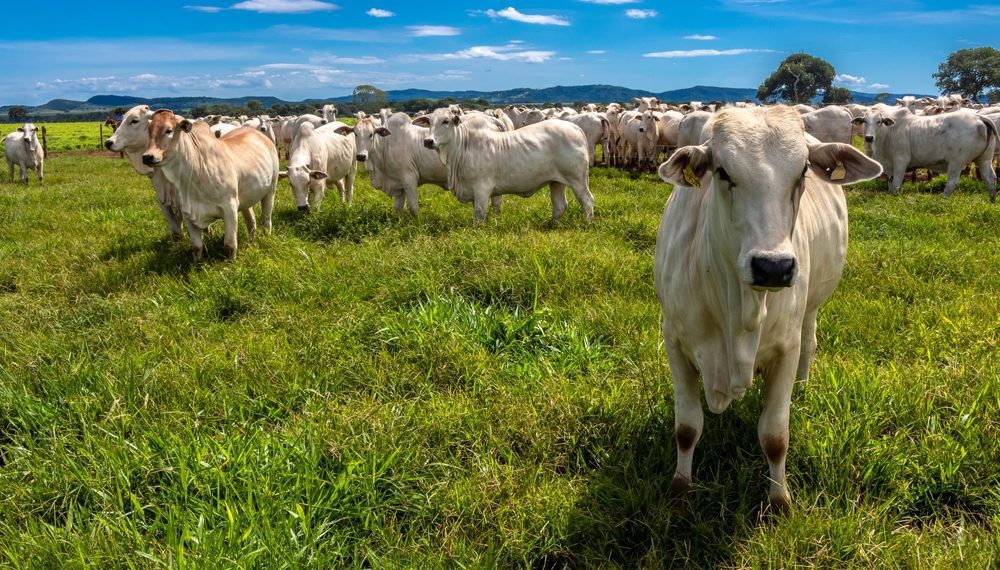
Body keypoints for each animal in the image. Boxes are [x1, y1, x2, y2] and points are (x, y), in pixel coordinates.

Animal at [143, 110, 280, 256]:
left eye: (168, 130)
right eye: (149, 131)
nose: (147, 157)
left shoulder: (230, 208)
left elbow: (230, 245)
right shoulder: (187, 212)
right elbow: (196, 246)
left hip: (271, 189)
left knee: (266, 218)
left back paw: (266, 237)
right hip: (245, 198)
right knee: (251, 219)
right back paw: (251, 241)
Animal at [416, 107, 588, 223]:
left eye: (446, 121)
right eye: (429, 122)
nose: (428, 141)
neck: (462, 148)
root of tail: (574, 127)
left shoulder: (482, 188)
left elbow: (479, 215)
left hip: (577, 179)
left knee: (587, 200)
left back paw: (588, 222)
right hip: (556, 181)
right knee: (560, 205)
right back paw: (552, 224)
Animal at [656, 104, 884, 512]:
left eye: (803, 171)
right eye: (722, 172)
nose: (773, 266)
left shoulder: (785, 349)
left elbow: (775, 436)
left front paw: (779, 499)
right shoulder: (675, 341)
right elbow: (687, 427)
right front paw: (680, 488)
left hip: (810, 311)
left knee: (810, 342)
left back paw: (803, 389)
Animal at [852, 102, 1000, 200]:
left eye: (879, 121)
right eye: (864, 121)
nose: (869, 138)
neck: (889, 132)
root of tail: (979, 117)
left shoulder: (900, 161)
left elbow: (896, 184)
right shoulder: (890, 166)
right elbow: (890, 183)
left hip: (957, 161)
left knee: (952, 181)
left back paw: (943, 199)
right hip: (984, 159)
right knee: (990, 179)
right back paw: (991, 200)